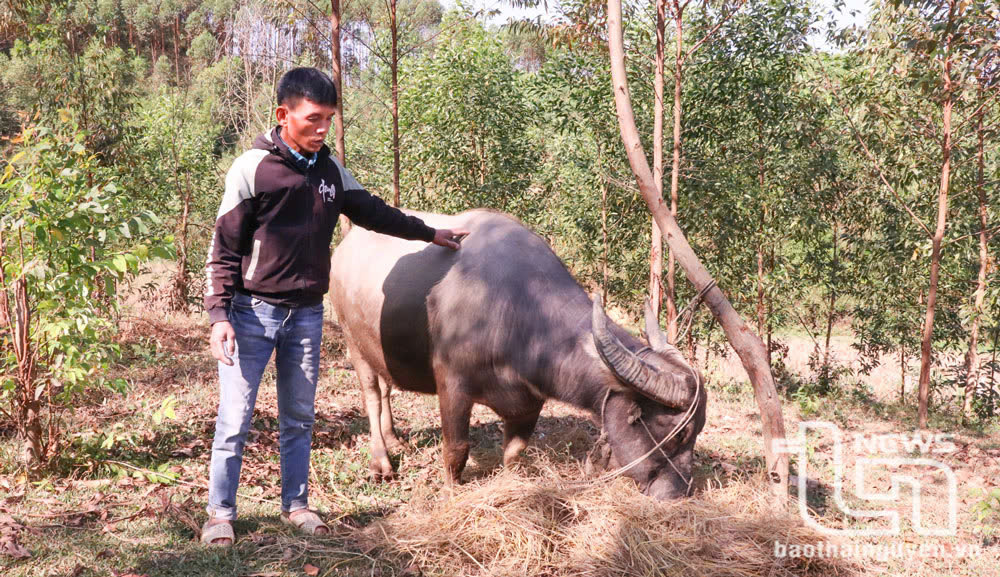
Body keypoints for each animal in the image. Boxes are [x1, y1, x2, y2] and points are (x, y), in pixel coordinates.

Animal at [328, 209, 704, 498]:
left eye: (696, 432)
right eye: (679, 433)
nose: (680, 492)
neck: (516, 311)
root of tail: (345, 247)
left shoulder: (529, 401)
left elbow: (514, 452)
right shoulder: (452, 386)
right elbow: (456, 450)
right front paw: (451, 492)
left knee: (386, 388)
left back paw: (395, 439)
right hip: (352, 342)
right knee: (372, 395)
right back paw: (381, 461)